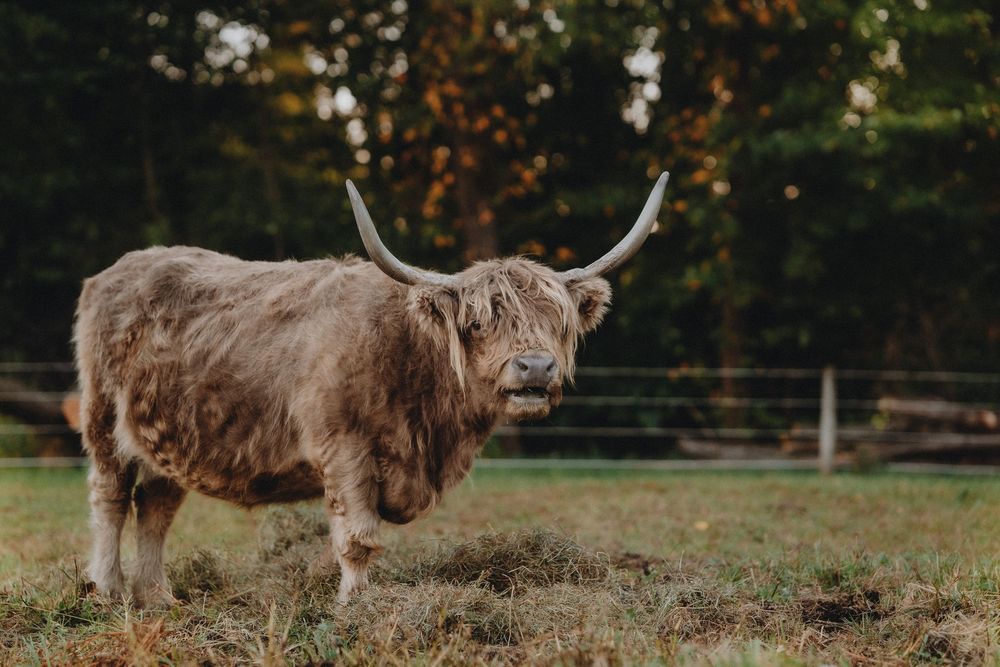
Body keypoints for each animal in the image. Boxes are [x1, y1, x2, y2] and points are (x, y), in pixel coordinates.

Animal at [73, 173, 669, 606]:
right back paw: (107, 591)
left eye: (556, 323)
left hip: (167, 437)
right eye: (477, 322)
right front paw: (355, 605)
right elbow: (357, 537)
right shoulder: (343, 449)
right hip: (103, 422)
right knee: (109, 499)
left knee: (155, 506)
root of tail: (118, 269)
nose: (535, 368)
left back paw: (158, 598)